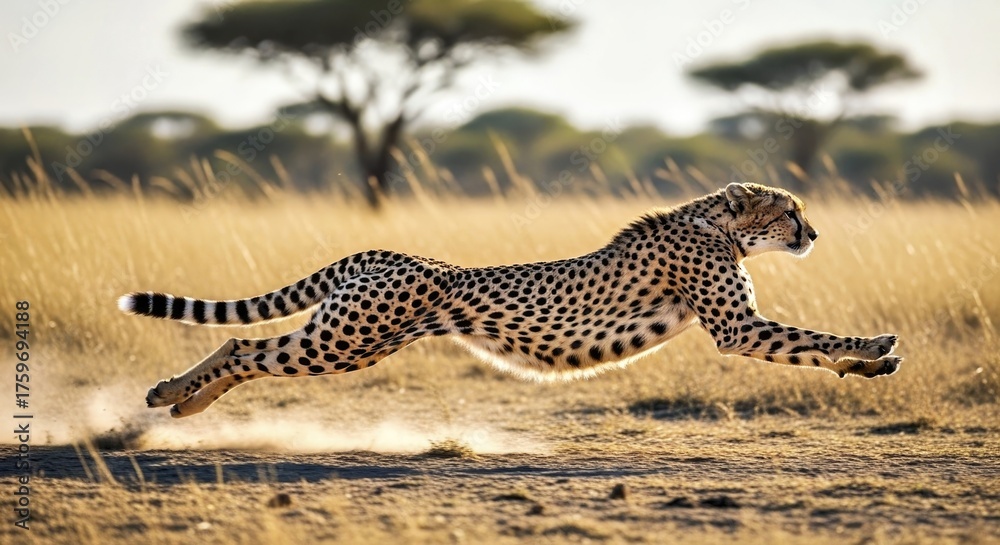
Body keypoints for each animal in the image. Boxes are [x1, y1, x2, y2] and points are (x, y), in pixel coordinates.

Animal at [119, 182, 902, 418]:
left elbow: (809, 345)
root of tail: (386, 251)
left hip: (353, 339)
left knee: (248, 348)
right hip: (345, 340)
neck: (715, 223)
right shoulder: (739, 327)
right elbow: (809, 338)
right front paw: (871, 348)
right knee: (244, 344)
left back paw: (182, 403)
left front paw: (868, 363)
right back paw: (173, 395)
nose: (814, 233)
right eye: (789, 211)